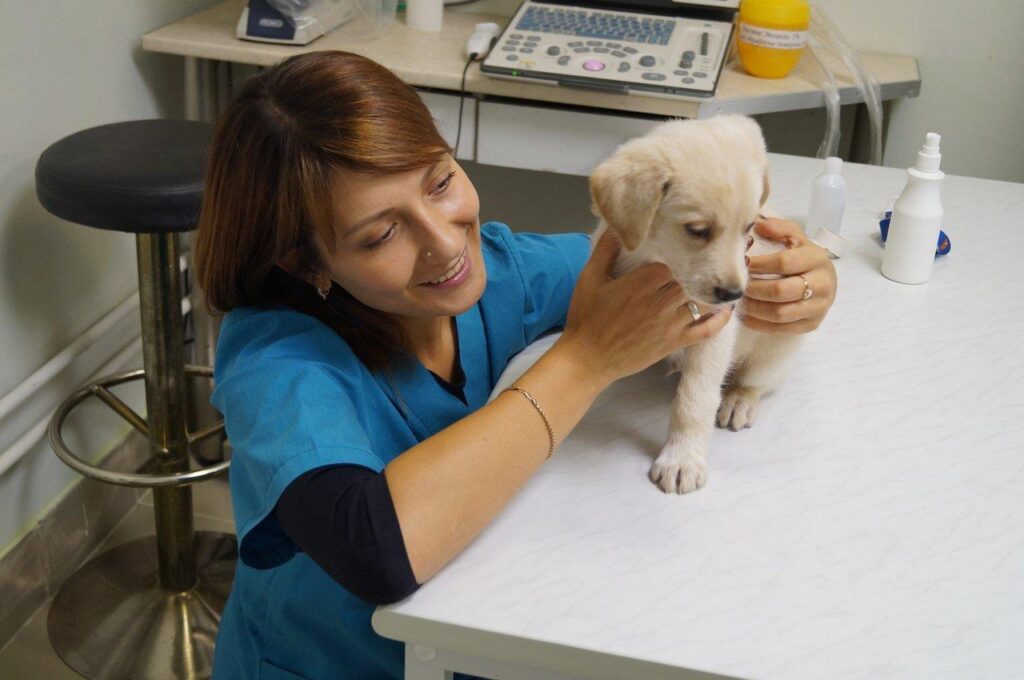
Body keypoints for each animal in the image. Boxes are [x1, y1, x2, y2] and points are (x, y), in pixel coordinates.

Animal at [593, 112, 798, 493]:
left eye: (750, 228)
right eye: (698, 230)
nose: (733, 296)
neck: (656, 260)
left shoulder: (715, 332)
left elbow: (695, 398)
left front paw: (682, 459)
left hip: (780, 346)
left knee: (756, 381)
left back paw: (738, 400)